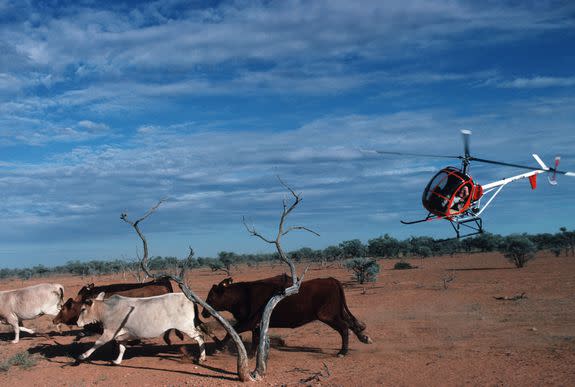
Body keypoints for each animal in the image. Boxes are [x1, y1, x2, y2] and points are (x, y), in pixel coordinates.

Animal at [77, 292, 206, 366]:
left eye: (83, 309)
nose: (77, 323)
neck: (107, 309)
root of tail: (189, 298)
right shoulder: (122, 336)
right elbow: (122, 348)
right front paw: (117, 361)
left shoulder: (110, 332)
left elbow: (97, 343)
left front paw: (83, 356)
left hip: (186, 326)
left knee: (200, 337)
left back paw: (202, 358)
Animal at [202, 274, 374, 356]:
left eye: (210, 298)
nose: (203, 313)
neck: (244, 295)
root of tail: (331, 280)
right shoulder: (256, 325)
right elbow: (255, 339)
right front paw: (252, 355)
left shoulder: (249, 322)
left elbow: (232, 331)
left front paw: (218, 349)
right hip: (336, 312)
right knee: (351, 324)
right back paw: (364, 338)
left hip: (327, 315)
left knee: (344, 328)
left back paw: (342, 352)